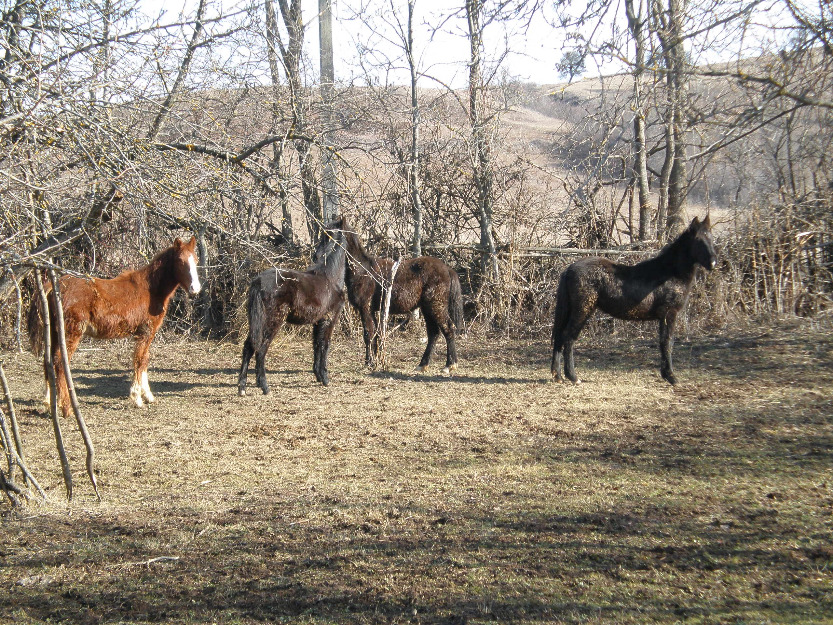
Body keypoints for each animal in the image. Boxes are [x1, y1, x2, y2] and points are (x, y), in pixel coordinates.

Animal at [28, 234, 201, 414]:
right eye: (180, 261)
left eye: (195, 259)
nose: (195, 289)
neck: (150, 289)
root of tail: (52, 286)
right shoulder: (146, 332)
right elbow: (139, 360)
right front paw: (137, 398)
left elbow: (145, 360)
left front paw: (148, 396)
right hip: (71, 333)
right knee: (60, 362)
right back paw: (66, 408)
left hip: (54, 332)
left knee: (48, 362)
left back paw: (49, 403)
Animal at [237, 221, 348, 394]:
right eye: (325, 235)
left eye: (331, 236)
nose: (316, 255)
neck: (331, 278)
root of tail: (258, 281)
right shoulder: (330, 318)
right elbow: (325, 344)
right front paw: (325, 378)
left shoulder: (318, 321)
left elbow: (316, 344)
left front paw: (318, 375)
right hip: (272, 322)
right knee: (261, 349)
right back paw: (264, 387)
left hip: (257, 322)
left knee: (248, 346)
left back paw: (242, 387)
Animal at [318, 217, 462, 372]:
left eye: (333, 236)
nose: (317, 256)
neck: (364, 271)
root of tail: (447, 269)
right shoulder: (373, 310)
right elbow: (375, 333)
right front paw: (375, 361)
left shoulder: (365, 308)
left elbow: (368, 333)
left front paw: (369, 362)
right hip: (427, 308)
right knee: (433, 333)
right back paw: (423, 364)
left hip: (436, 306)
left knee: (448, 328)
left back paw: (450, 365)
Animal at [552, 213, 716, 386]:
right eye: (697, 239)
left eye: (711, 237)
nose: (713, 263)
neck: (670, 273)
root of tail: (569, 269)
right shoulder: (669, 313)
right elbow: (667, 342)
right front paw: (671, 377)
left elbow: (664, 342)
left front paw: (666, 374)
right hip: (582, 310)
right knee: (568, 337)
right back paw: (573, 377)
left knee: (559, 336)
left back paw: (557, 376)